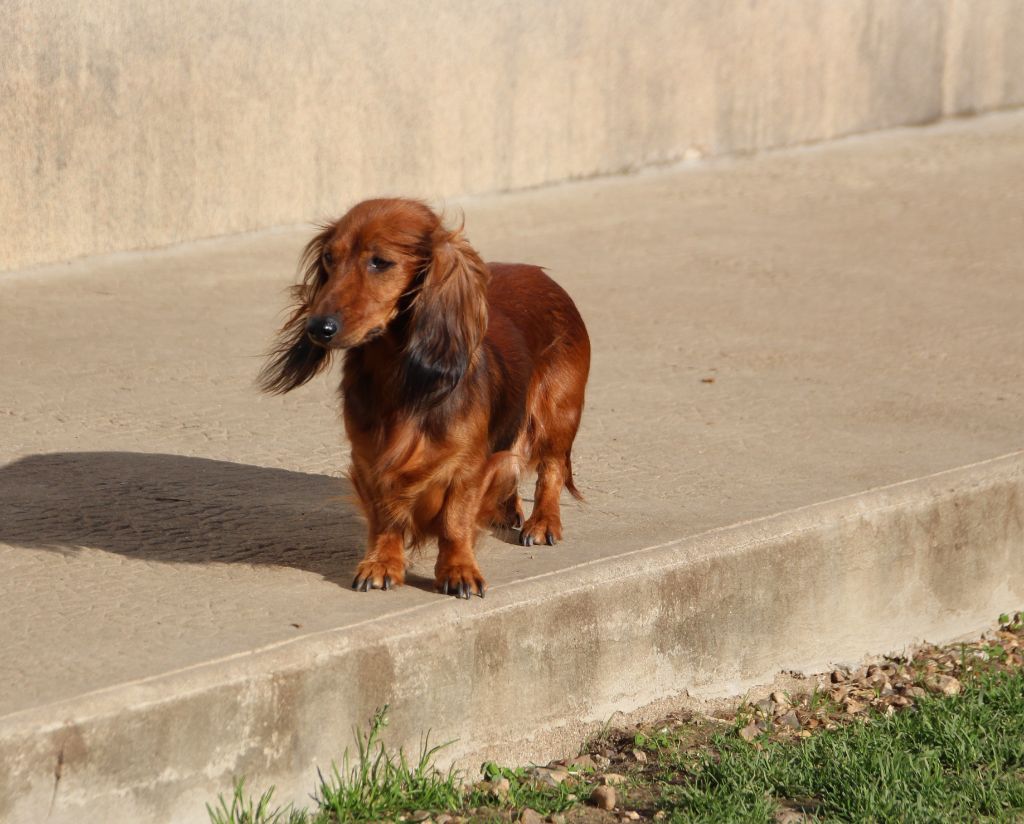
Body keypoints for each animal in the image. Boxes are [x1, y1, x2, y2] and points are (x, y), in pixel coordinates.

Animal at [260, 199, 589, 597]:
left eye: (380, 262)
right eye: (328, 258)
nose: (318, 328)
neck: (402, 377)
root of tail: (543, 277)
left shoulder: (465, 466)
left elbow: (454, 519)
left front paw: (458, 570)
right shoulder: (371, 459)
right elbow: (385, 517)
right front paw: (381, 564)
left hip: (557, 412)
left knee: (551, 469)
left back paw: (543, 522)